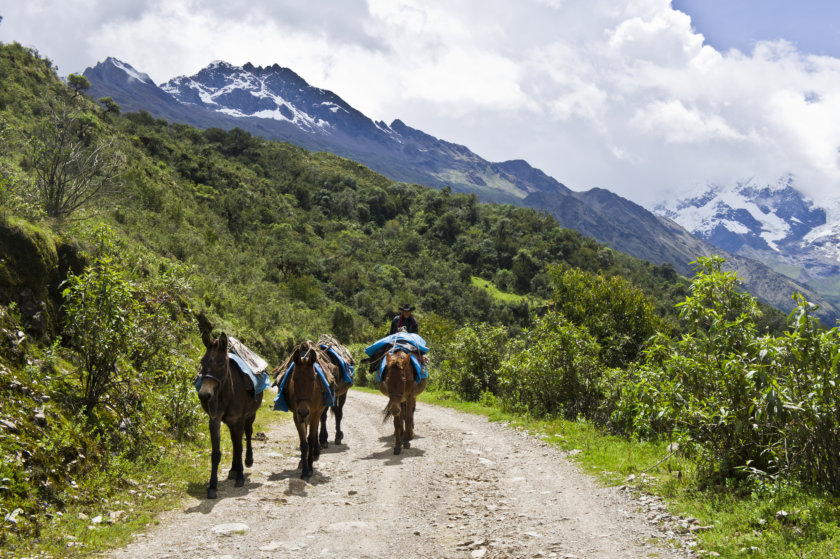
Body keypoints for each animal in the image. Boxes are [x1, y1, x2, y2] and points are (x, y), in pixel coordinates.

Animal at [197, 332, 262, 498]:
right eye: (202, 361)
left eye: (221, 363)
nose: (204, 395)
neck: (228, 392)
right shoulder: (215, 420)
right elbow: (216, 453)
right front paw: (212, 486)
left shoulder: (238, 420)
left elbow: (239, 447)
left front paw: (240, 477)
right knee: (234, 441)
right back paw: (233, 469)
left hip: (250, 416)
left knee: (248, 434)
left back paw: (247, 461)